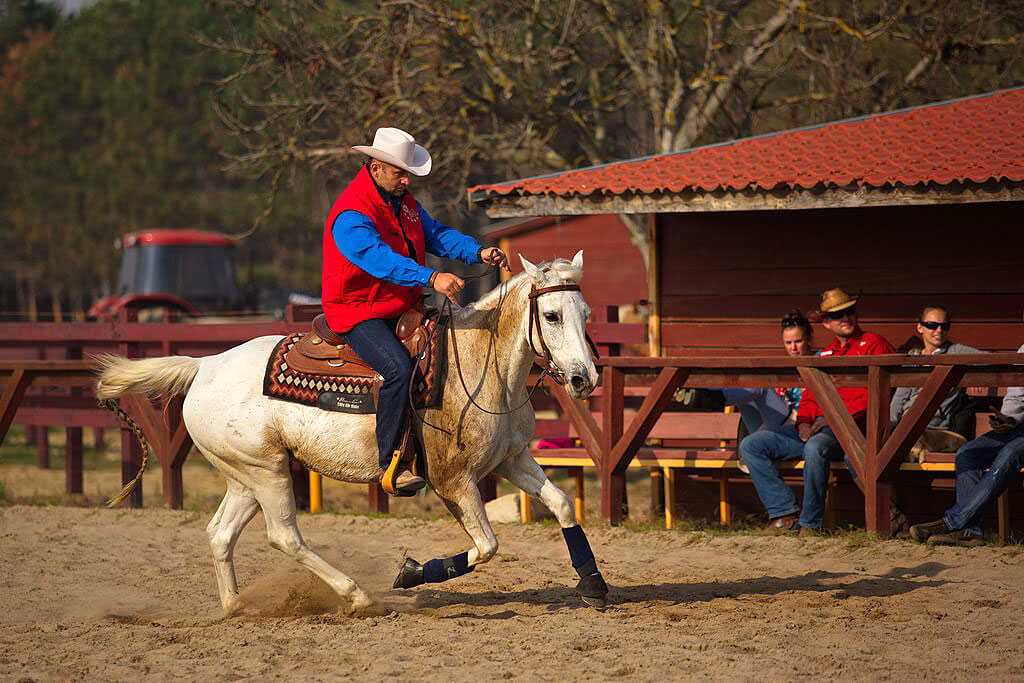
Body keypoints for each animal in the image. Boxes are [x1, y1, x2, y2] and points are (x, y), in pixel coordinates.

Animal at [94, 250, 606, 614]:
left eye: (586, 312)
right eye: (552, 316)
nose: (584, 379)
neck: (485, 366)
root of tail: (204, 365)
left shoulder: (512, 458)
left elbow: (562, 504)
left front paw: (594, 584)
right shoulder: (453, 481)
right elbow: (487, 546)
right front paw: (411, 572)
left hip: (246, 476)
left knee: (221, 534)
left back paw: (237, 606)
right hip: (267, 473)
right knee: (284, 536)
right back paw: (358, 596)